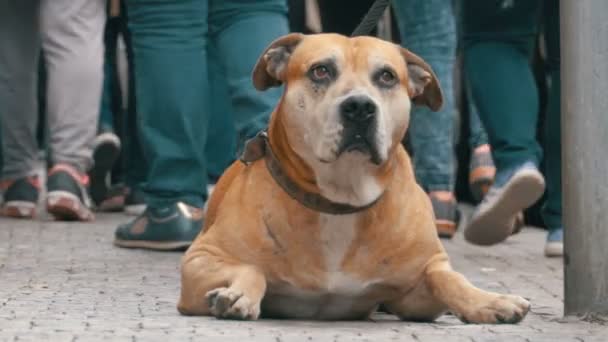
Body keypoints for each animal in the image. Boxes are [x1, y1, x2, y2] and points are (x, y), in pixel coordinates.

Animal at [176, 32, 528, 324]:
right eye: (320, 71)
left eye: (386, 76)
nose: (359, 106)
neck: (341, 198)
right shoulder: (200, 259)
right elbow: (251, 268)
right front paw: (238, 294)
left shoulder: (413, 293)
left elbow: (446, 277)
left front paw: (489, 301)